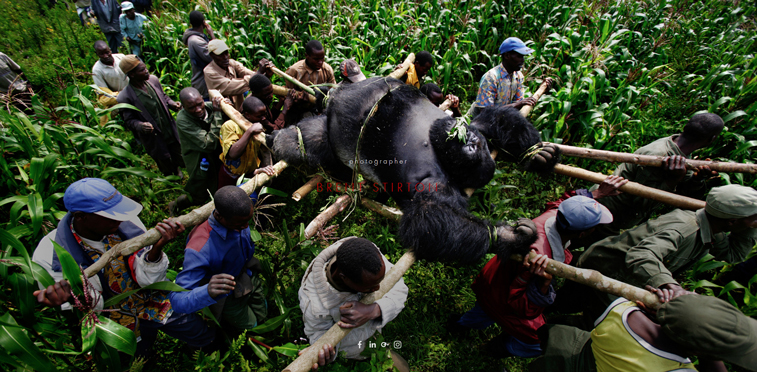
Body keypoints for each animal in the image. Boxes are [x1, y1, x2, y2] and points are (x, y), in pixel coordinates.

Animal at [268, 77, 560, 264]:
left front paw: (507, 236)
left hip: (333, 133)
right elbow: (493, 117)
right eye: (474, 144)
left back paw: (284, 140)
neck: (435, 142)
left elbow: (427, 218)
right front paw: (537, 154)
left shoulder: (433, 180)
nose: (467, 142)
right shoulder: (470, 125)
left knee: (310, 139)